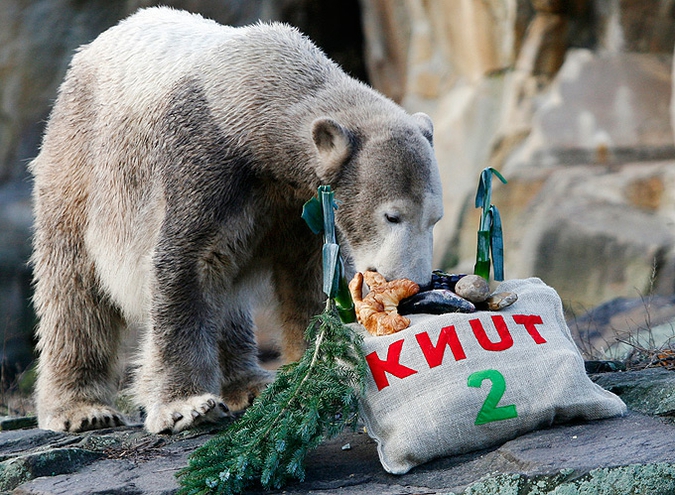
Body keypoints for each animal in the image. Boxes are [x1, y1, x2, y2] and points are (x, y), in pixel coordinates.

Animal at [31, 6, 444, 434]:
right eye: (392, 215)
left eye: (434, 218)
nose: (416, 284)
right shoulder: (202, 163)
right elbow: (183, 267)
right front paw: (186, 406)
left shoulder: (294, 204)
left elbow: (308, 279)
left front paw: (321, 369)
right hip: (83, 164)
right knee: (74, 286)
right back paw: (81, 408)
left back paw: (250, 386)